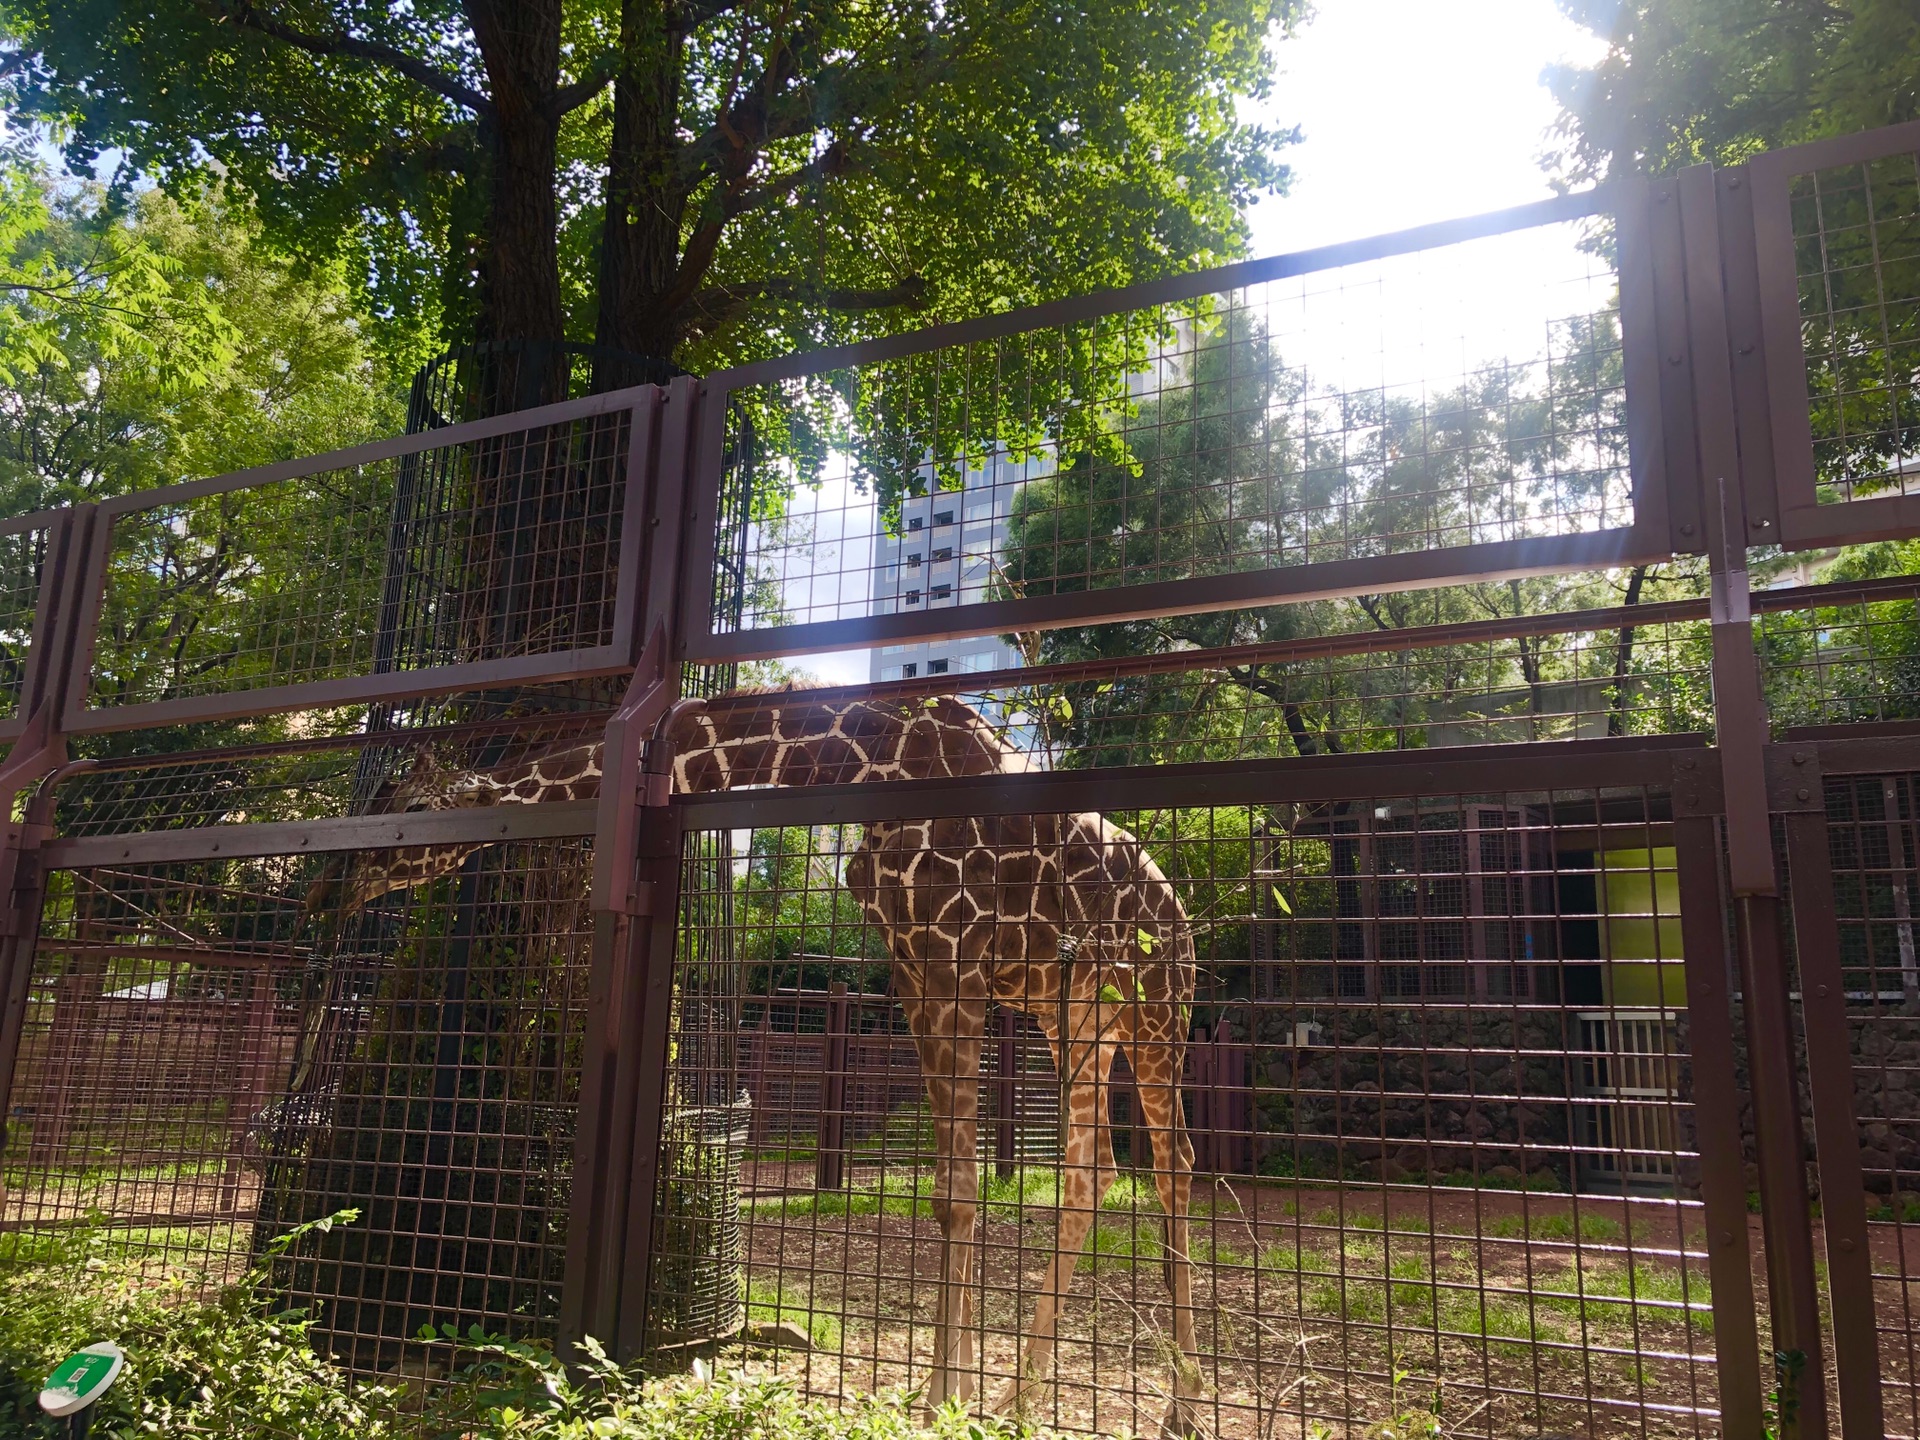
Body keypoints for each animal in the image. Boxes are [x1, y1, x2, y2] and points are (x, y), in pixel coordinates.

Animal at [299, 695, 1198, 1436]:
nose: (324, 888)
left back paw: (1180, 1407)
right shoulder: (912, 966)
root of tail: (1181, 912)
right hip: (1076, 1017)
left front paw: (942, 1397)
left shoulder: (948, 957)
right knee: (1093, 1169)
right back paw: (1026, 1398)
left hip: (1156, 1009)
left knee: (1174, 1162)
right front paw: (958, 1392)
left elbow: (956, 1190)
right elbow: (954, 1188)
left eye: (413, 809)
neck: (855, 762)